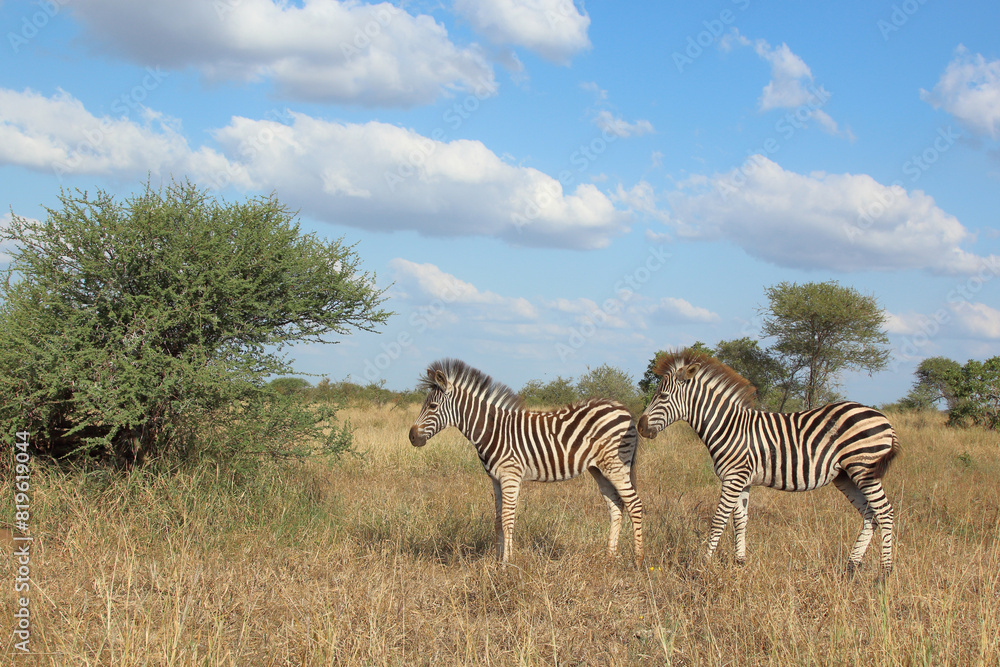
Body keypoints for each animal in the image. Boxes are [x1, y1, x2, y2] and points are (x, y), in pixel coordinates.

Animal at [408, 359, 644, 566]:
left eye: (432, 406)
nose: (412, 437)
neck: (493, 430)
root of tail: (623, 409)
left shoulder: (510, 476)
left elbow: (507, 519)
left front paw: (507, 563)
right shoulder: (495, 479)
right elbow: (497, 520)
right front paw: (497, 561)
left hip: (616, 466)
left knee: (635, 505)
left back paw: (638, 560)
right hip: (600, 470)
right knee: (616, 507)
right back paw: (610, 555)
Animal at [637, 349, 900, 578]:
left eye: (662, 396)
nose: (640, 427)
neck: (728, 426)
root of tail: (883, 418)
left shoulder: (733, 478)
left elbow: (719, 520)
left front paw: (701, 565)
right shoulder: (743, 481)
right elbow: (740, 520)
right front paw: (740, 562)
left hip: (864, 470)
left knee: (885, 512)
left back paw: (885, 573)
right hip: (846, 475)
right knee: (870, 514)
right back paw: (851, 567)